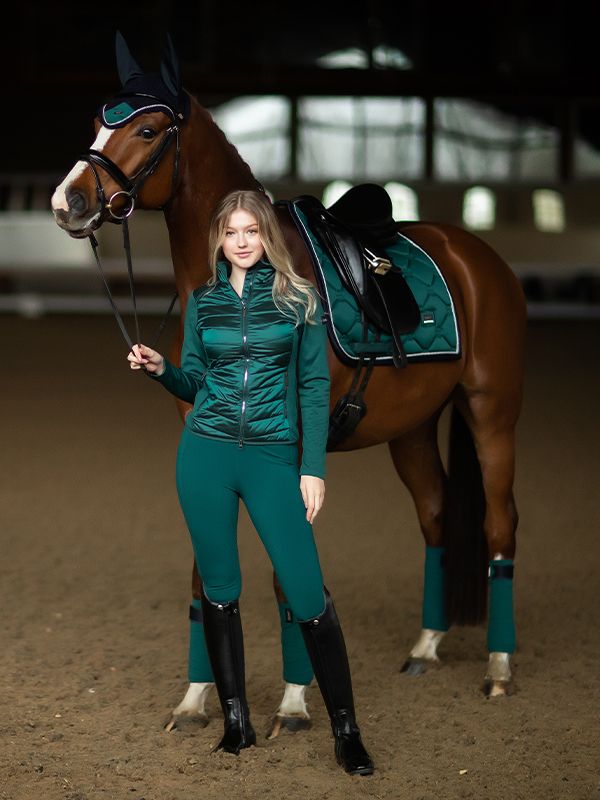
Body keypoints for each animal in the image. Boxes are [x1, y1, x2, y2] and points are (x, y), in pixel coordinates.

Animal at [50, 36, 524, 732]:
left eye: (147, 128)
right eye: (96, 122)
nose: (69, 202)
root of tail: (479, 257)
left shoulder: (295, 453)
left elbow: (286, 575)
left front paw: (296, 705)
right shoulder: (203, 441)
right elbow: (206, 572)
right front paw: (195, 700)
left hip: (492, 412)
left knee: (499, 524)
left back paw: (498, 669)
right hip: (411, 429)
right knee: (436, 514)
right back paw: (425, 648)